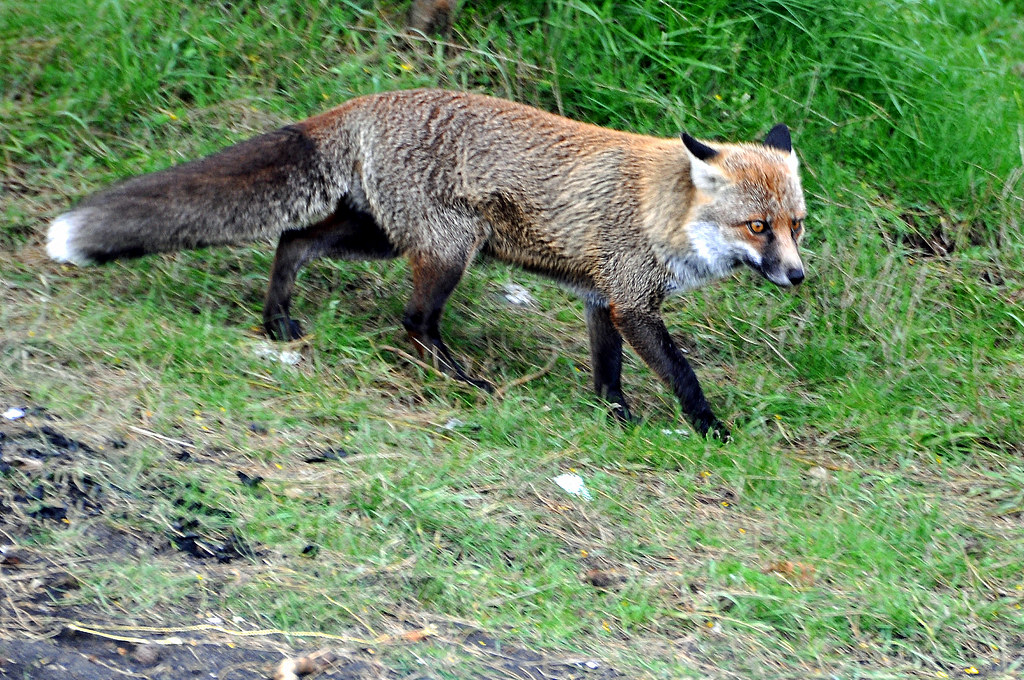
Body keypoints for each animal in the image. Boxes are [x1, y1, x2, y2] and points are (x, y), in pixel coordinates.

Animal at [46, 89, 807, 439]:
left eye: (795, 226)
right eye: (757, 226)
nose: (798, 276)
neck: (663, 213)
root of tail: (364, 101)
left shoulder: (600, 298)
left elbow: (608, 371)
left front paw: (613, 416)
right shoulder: (630, 300)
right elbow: (682, 373)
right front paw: (711, 430)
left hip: (377, 235)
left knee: (290, 242)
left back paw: (277, 320)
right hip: (448, 250)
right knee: (412, 321)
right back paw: (461, 380)